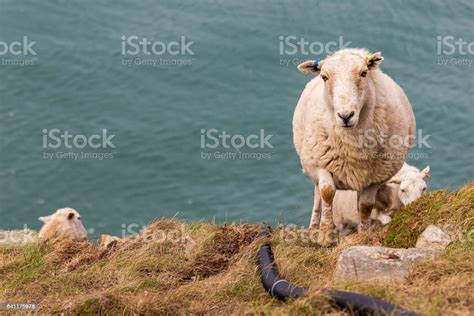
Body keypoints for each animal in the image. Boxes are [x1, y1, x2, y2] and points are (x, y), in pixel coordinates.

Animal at [292, 47, 414, 244]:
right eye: (324, 77)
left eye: (363, 73)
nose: (345, 115)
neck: (352, 144)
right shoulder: (320, 162)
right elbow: (327, 192)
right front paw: (326, 235)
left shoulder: (376, 176)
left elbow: (365, 206)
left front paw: (363, 234)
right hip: (311, 164)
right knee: (318, 195)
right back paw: (314, 227)